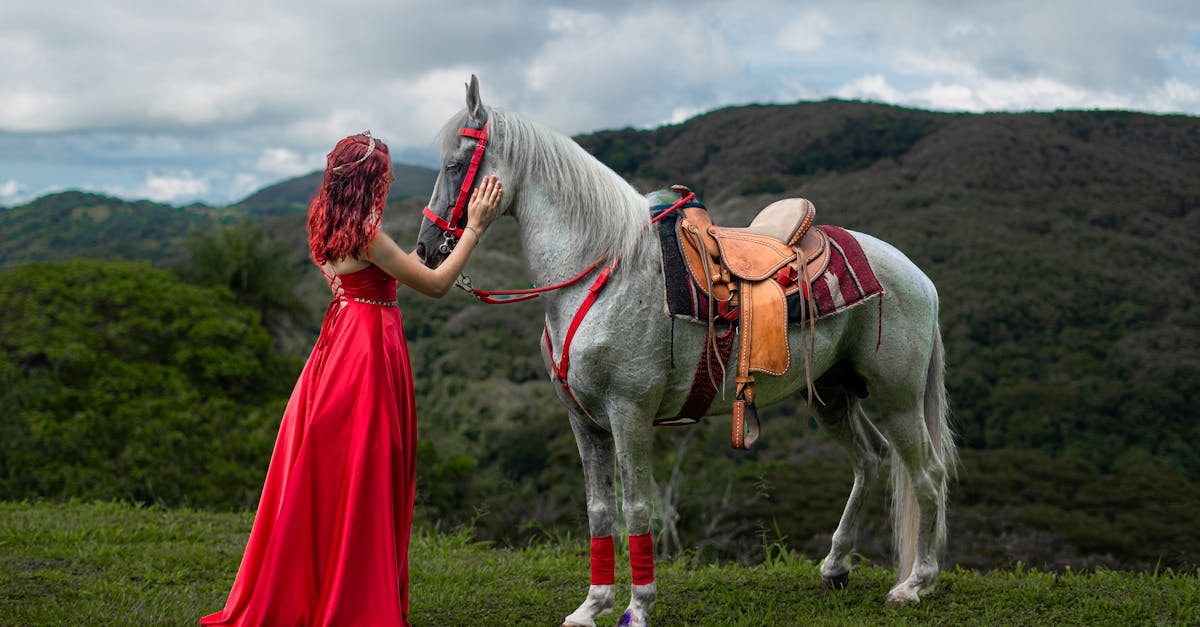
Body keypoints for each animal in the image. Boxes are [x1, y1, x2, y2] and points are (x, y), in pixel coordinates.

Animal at [417, 76, 960, 624]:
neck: (603, 270)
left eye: (455, 164)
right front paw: (592, 605)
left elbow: (637, 506)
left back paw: (916, 584)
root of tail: (918, 276)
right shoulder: (583, 420)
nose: (423, 248)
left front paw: (637, 607)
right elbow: (598, 510)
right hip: (832, 395)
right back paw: (835, 566)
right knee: (869, 459)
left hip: (897, 398)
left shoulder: (629, 413)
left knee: (927, 474)